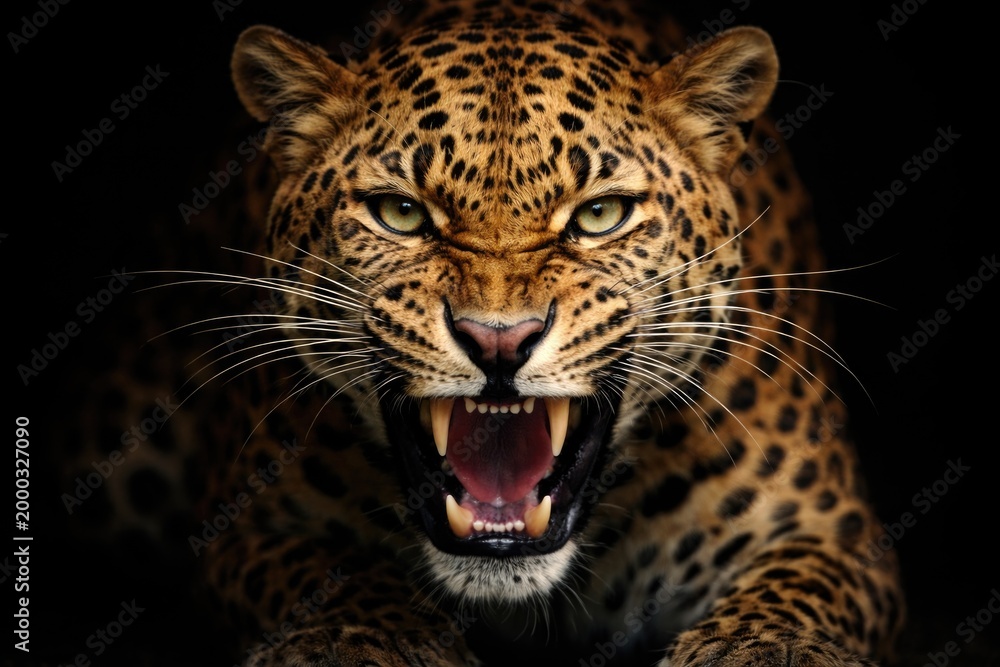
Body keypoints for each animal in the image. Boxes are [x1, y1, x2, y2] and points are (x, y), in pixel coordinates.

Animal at [66, 0, 907, 665]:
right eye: (400, 212)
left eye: (599, 214)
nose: (498, 340)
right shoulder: (252, 527)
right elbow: (338, 582)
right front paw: (371, 639)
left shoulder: (831, 533)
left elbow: (793, 595)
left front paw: (764, 647)